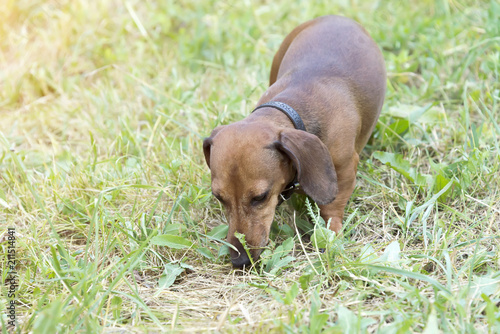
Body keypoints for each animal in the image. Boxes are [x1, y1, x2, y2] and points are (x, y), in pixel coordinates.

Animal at [201, 15, 384, 268]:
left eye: (260, 197)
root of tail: (337, 17)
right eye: (218, 197)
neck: (293, 107)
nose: (240, 261)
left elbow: (332, 207)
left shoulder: (344, 168)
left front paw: (332, 237)